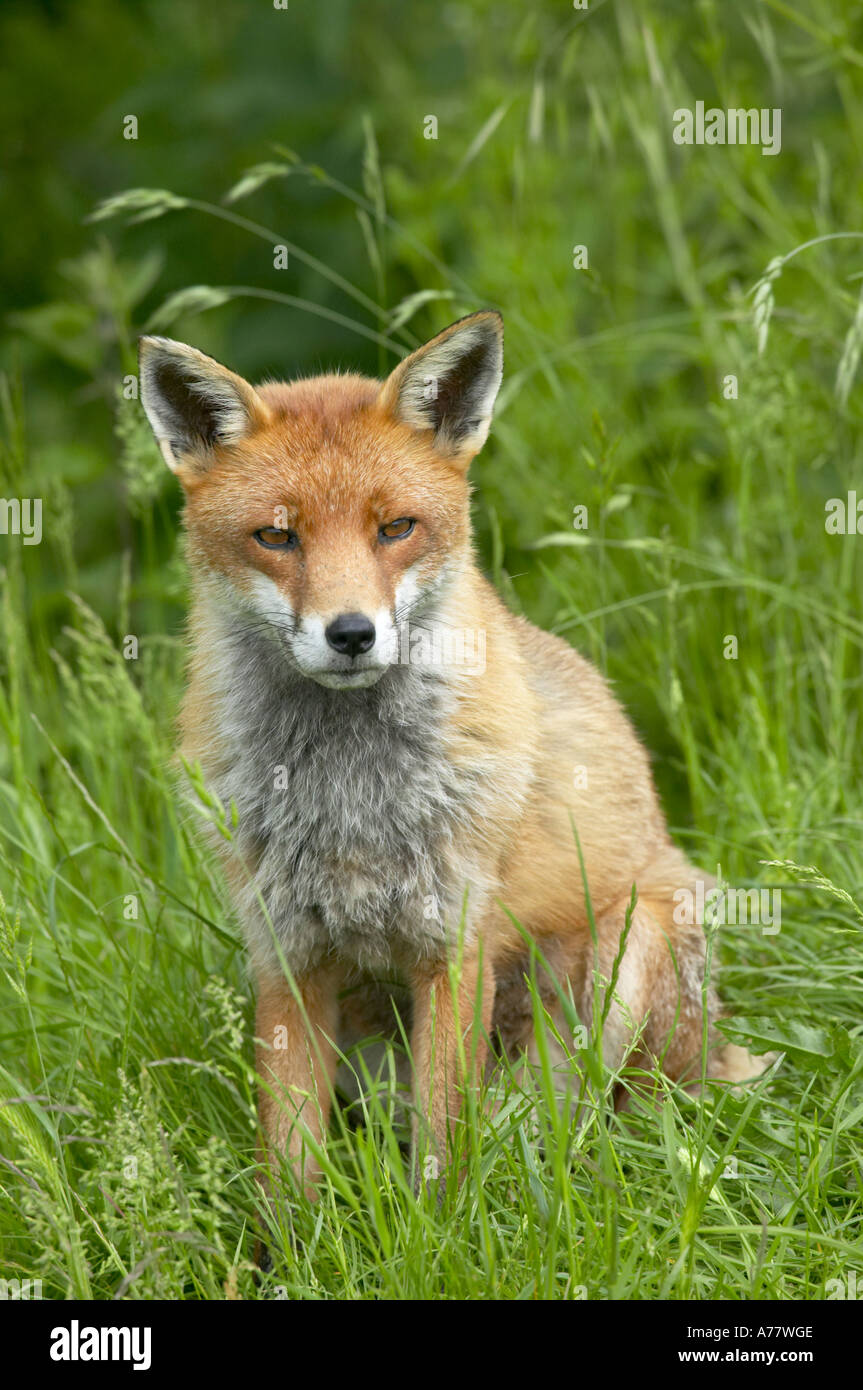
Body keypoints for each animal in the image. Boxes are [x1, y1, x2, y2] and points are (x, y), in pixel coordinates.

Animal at [139, 315, 761, 1206]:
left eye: (394, 528)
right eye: (277, 536)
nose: (351, 633)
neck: (348, 795)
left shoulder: (456, 943)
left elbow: (439, 1155)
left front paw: (435, 1230)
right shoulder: (286, 956)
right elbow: (287, 1171)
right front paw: (286, 1244)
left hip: (633, 951)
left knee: (605, 1119)